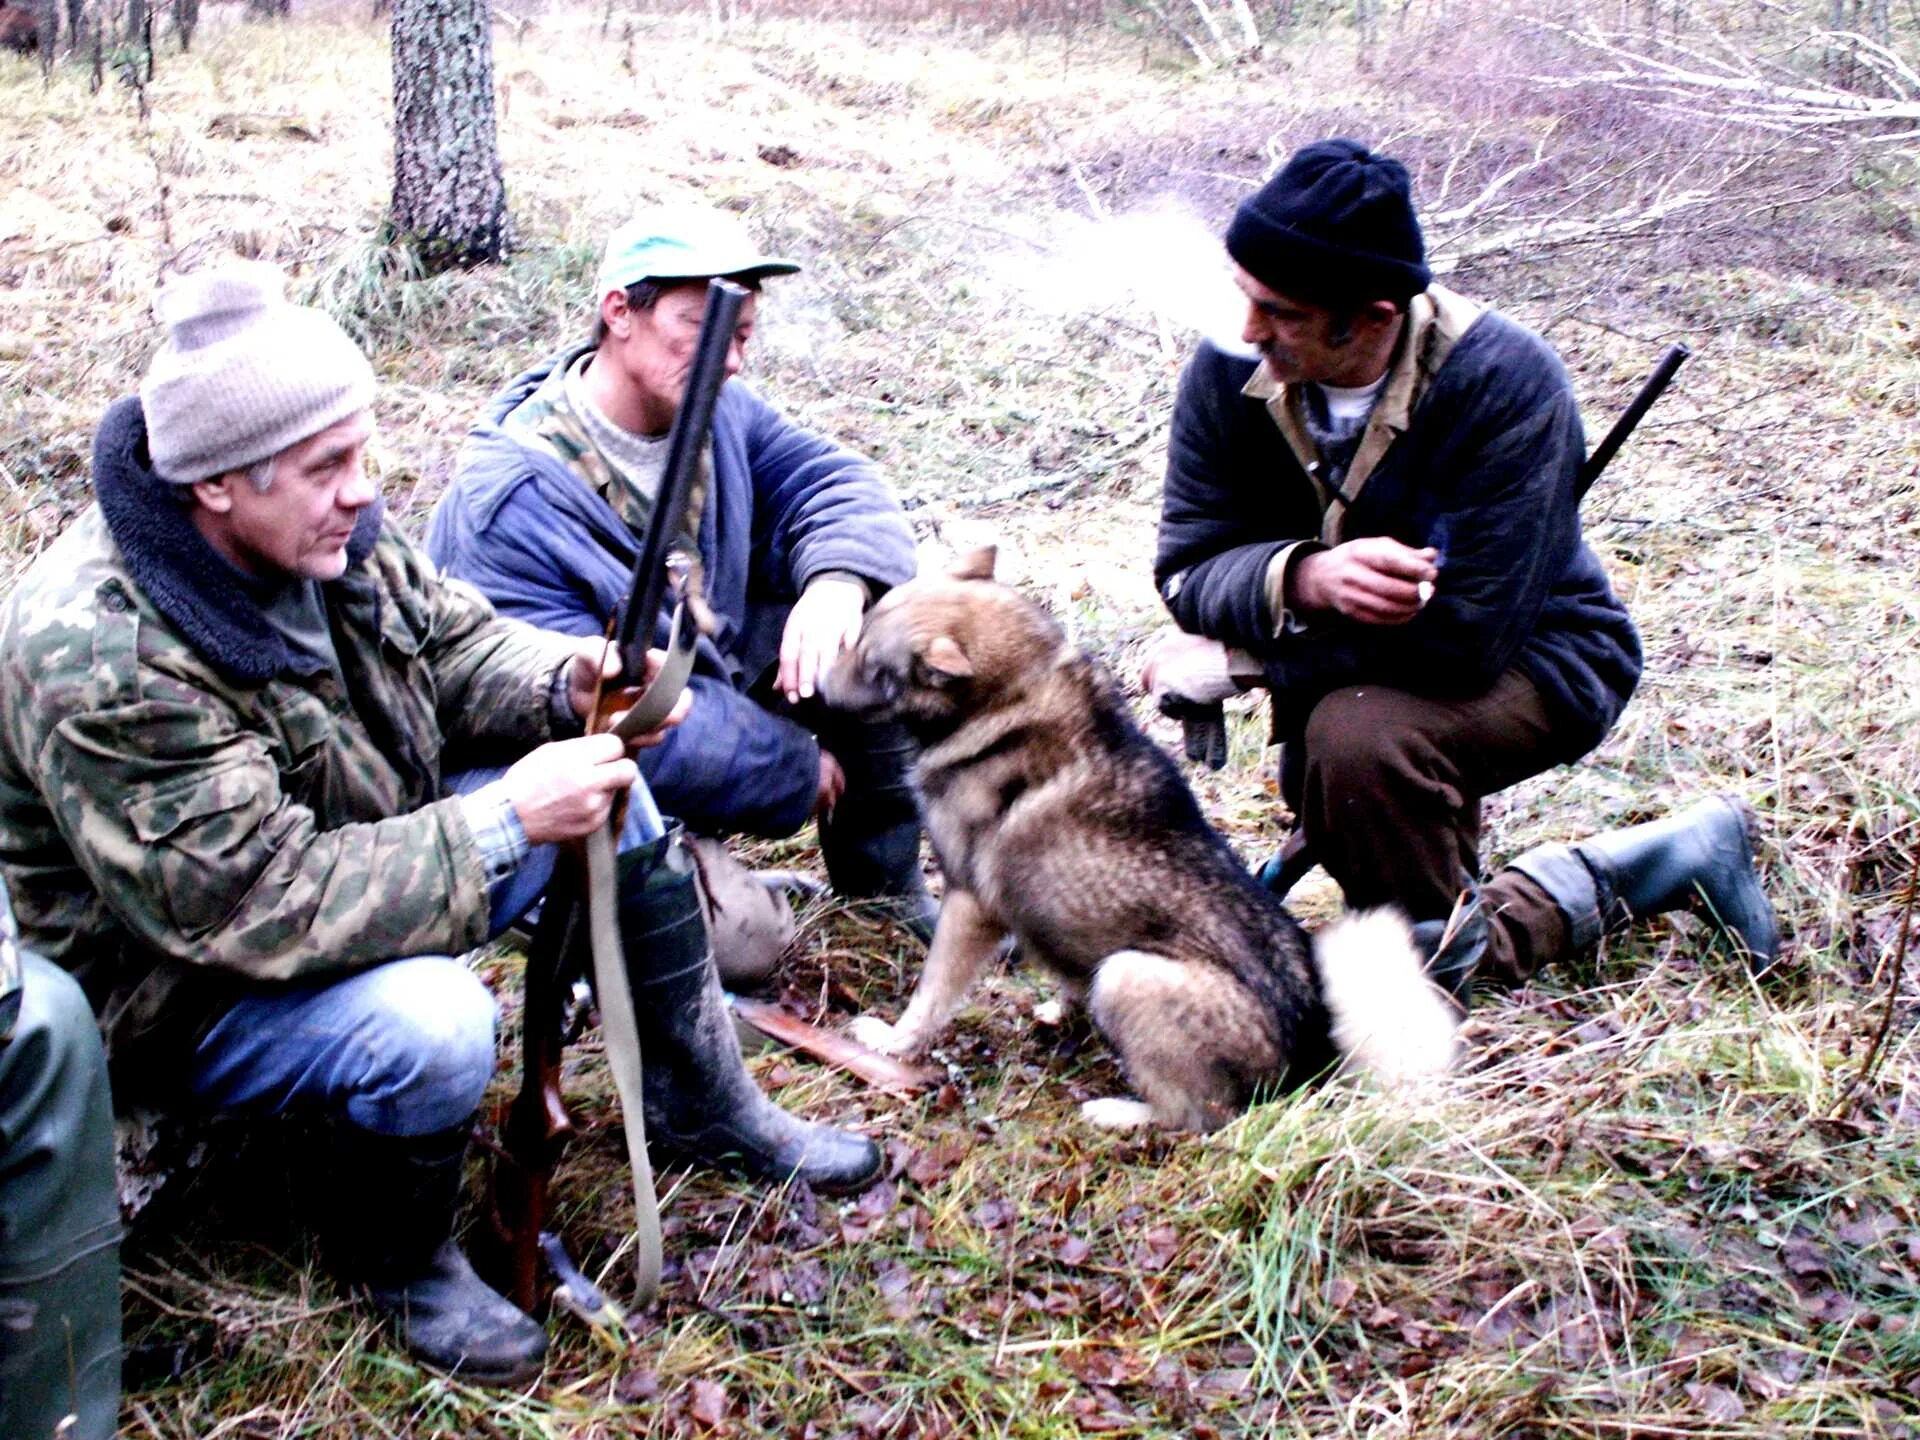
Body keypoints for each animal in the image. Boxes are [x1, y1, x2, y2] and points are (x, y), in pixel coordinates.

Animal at [817, 545, 1459, 1136]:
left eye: (874, 668)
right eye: (859, 636)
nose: (814, 684)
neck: (1014, 692)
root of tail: (1311, 1064)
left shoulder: (969, 905)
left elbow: (931, 995)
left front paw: (892, 1043)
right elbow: (1066, 975)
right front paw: (1060, 1009)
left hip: (1127, 976)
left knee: (1196, 1117)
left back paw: (1118, 1112)